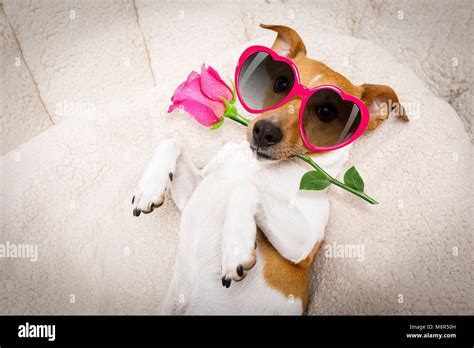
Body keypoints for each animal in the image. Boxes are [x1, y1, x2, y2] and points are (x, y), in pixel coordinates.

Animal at [131, 23, 408, 314]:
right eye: (282, 84)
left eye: (326, 112)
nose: (264, 131)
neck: (259, 167)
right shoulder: (195, 192)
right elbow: (173, 139)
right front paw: (149, 187)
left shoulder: (304, 246)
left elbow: (245, 189)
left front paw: (236, 245)